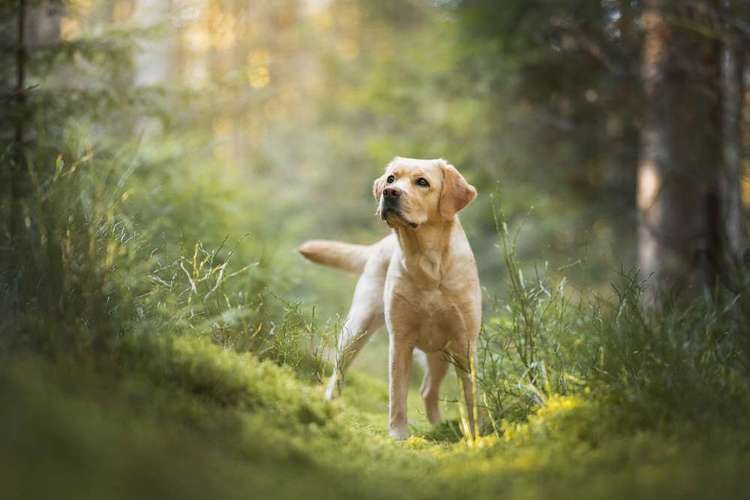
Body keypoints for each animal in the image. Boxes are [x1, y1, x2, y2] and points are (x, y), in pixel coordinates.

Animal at [300, 158, 482, 440]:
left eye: (422, 182)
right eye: (391, 179)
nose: (389, 193)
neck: (427, 265)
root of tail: (379, 245)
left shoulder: (465, 342)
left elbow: (470, 396)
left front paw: (475, 437)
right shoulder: (400, 339)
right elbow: (397, 394)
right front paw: (398, 435)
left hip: (441, 352)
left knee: (428, 391)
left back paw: (439, 427)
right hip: (357, 327)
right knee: (338, 374)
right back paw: (329, 406)